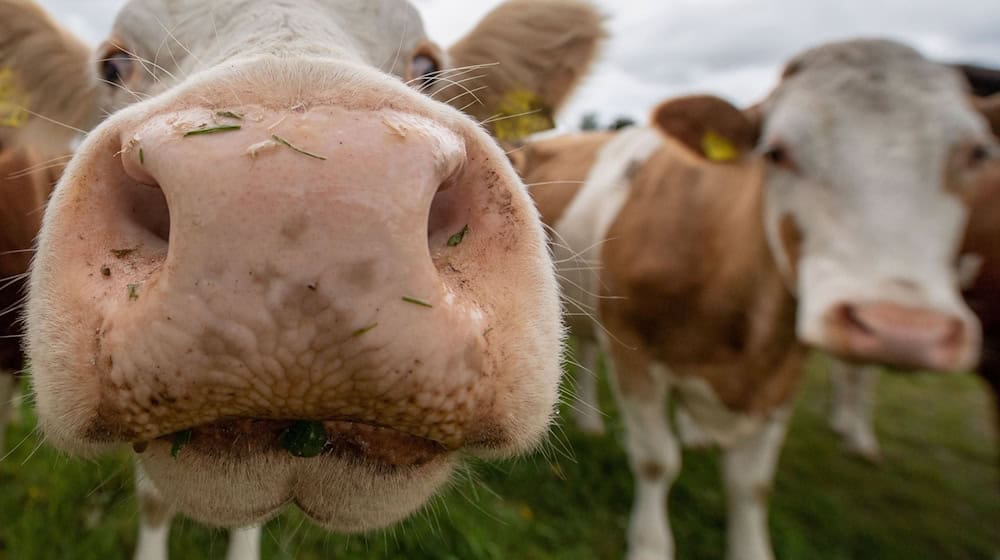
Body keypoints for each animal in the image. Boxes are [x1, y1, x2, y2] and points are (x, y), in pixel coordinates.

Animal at [512, 39, 996, 560]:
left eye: (977, 153)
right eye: (777, 152)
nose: (902, 329)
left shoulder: (784, 373)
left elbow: (751, 484)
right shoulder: (633, 349)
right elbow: (657, 461)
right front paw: (650, 545)